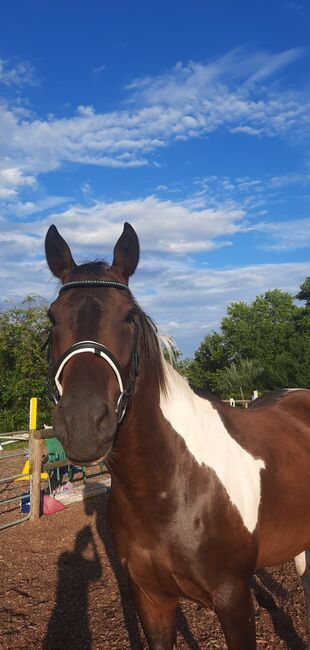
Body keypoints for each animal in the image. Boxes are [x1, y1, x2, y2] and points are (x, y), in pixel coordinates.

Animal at [44, 223, 310, 648]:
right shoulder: (151, 600)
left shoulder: (234, 600)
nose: (83, 424)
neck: (171, 485)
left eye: (129, 316)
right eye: (53, 318)